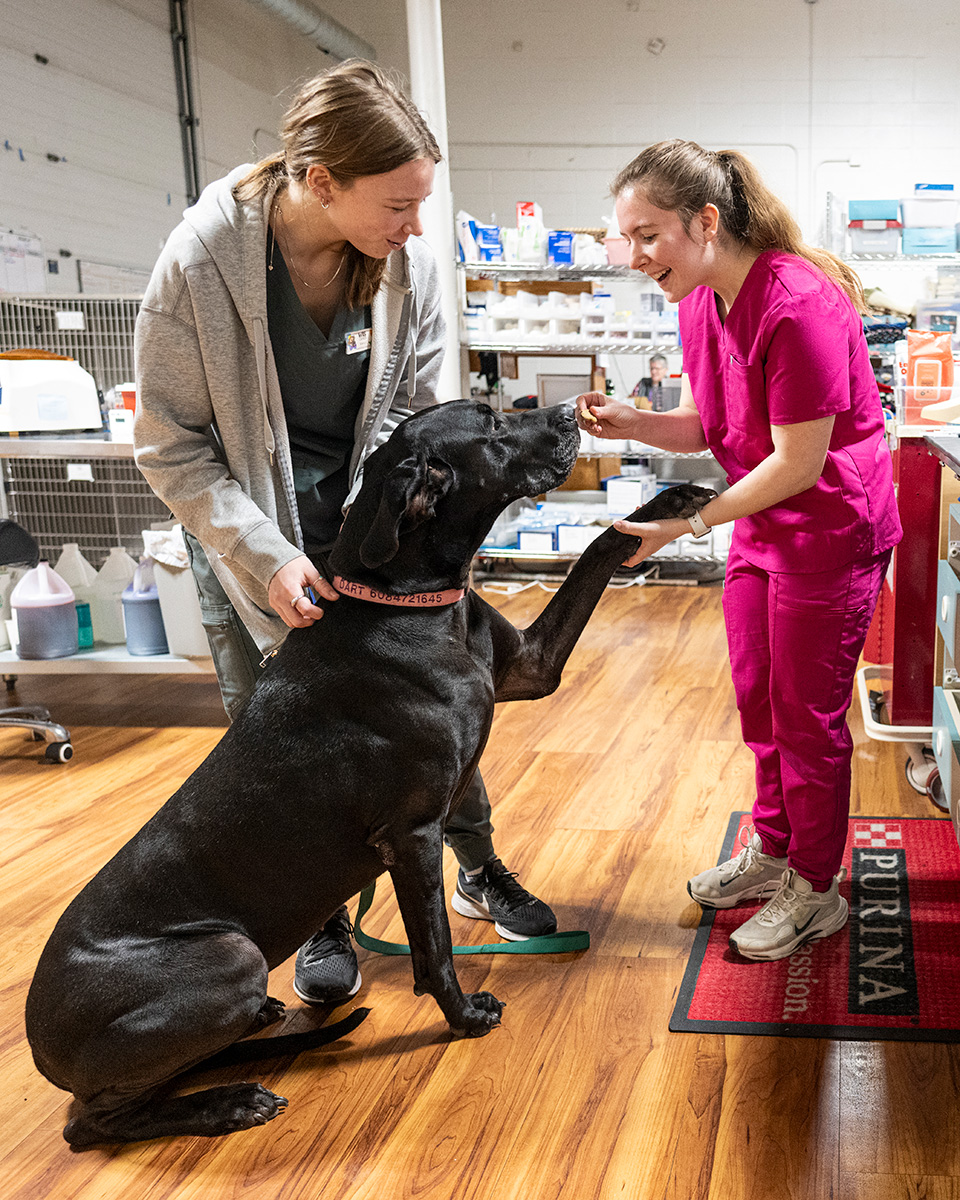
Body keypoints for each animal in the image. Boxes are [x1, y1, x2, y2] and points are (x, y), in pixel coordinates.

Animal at [26, 400, 710, 1142]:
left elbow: (597, 549)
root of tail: (41, 1052)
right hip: (230, 956)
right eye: (493, 426)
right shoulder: (412, 835)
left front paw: (669, 503)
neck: (401, 603)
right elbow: (434, 948)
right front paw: (464, 1018)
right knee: (95, 1123)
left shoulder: (532, 665)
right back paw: (229, 1102)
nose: (566, 411)